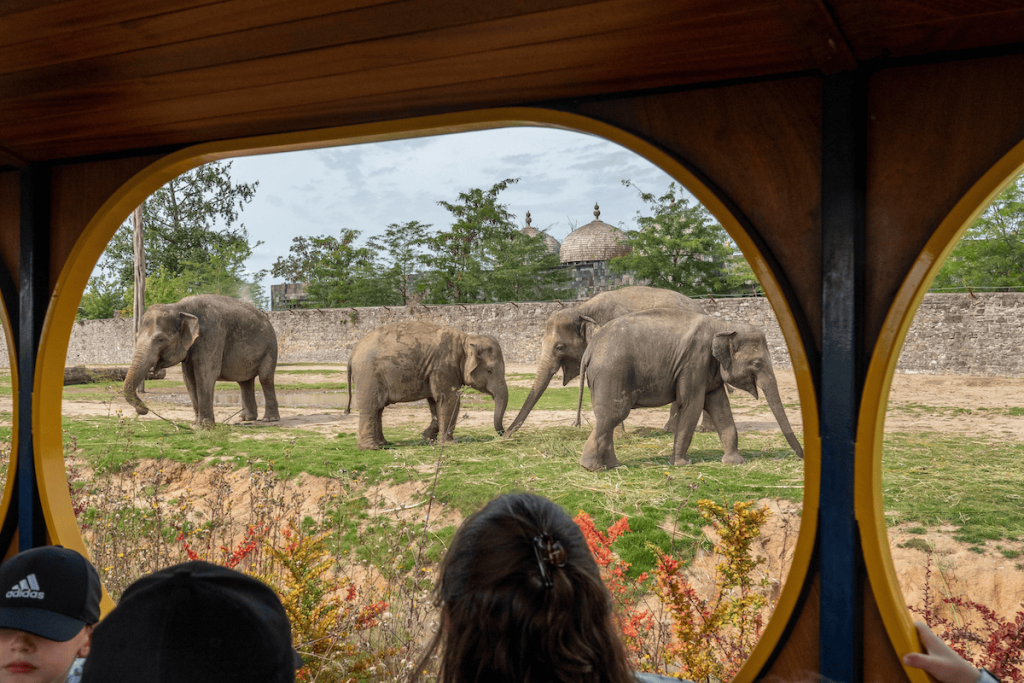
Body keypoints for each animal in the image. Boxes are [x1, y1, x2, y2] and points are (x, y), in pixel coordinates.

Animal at [122, 294, 280, 428]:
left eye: (160, 339)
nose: (144, 410)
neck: (181, 308)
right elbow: (189, 379)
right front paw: (195, 424)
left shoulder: (212, 335)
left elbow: (205, 375)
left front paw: (205, 426)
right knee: (244, 382)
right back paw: (246, 418)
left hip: (271, 346)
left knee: (265, 377)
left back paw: (269, 419)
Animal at [346, 321, 509, 450]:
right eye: (489, 371)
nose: (504, 433)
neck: (466, 339)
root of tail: (353, 352)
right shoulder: (445, 366)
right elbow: (449, 399)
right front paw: (449, 443)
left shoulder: (435, 370)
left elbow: (435, 402)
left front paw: (426, 437)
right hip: (368, 375)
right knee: (371, 407)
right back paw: (371, 448)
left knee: (378, 409)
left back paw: (382, 444)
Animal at [573, 309, 802, 471]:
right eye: (756, 364)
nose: (801, 456)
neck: (724, 325)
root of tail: (589, 349)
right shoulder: (694, 361)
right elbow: (692, 404)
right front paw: (681, 464)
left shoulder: (709, 369)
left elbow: (720, 406)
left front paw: (735, 462)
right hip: (612, 373)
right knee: (613, 415)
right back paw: (591, 467)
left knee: (606, 417)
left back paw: (611, 466)